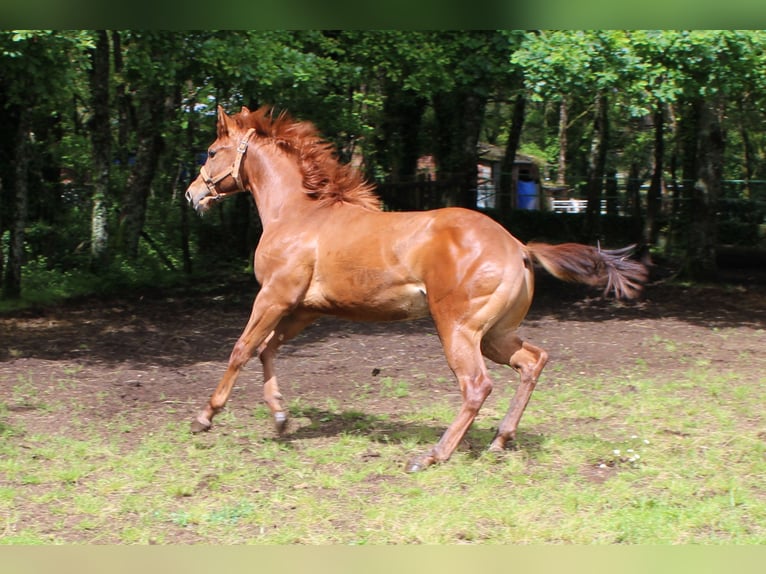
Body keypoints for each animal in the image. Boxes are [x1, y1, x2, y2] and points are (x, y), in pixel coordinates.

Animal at [186, 106, 648, 474]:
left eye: (211, 151)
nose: (192, 195)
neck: (300, 214)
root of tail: (518, 247)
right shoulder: (305, 308)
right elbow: (267, 349)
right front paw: (281, 418)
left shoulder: (275, 296)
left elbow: (242, 348)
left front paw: (206, 416)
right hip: (495, 334)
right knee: (532, 361)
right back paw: (500, 440)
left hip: (458, 329)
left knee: (477, 386)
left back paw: (432, 456)